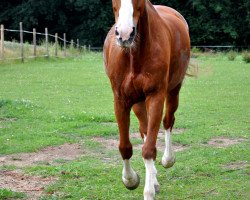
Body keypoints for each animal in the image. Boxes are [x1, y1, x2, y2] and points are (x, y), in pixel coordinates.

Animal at [103, 0, 189, 198]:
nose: (125, 34)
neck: (133, 56)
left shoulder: (156, 96)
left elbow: (149, 148)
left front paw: (148, 191)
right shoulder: (121, 100)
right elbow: (125, 146)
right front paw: (130, 180)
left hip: (173, 90)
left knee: (167, 122)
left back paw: (167, 159)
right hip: (138, 102)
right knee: (144, 130)